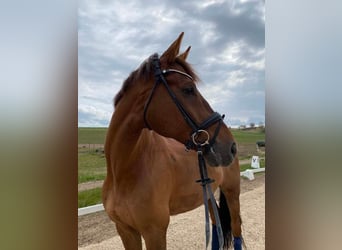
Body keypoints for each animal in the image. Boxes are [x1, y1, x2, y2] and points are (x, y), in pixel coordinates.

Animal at [102, 32, 243, 249]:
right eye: (188, 89)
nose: (231, 147)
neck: (124, 173)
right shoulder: (125, 231)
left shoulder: (154, 233)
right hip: (209, 195)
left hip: (232, 192)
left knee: (236, 230)